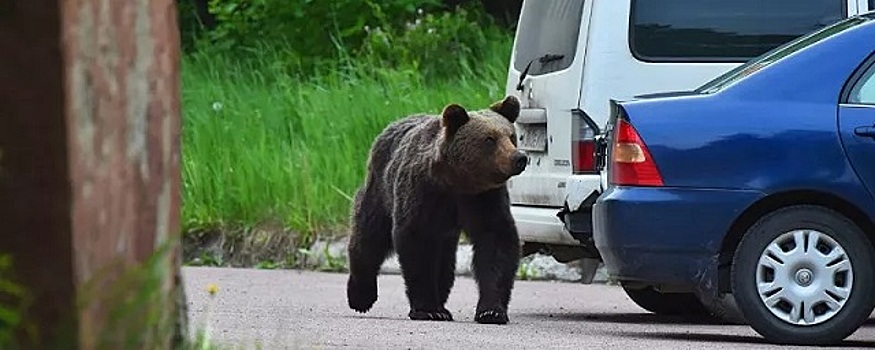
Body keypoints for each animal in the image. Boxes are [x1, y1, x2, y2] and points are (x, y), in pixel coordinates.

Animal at [348, 94, 528, 324]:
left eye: (512, 136)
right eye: (489, 139)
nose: (519, 158)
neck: (456, 181)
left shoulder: (484, 198)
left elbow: (496, 243)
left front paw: (491, 311)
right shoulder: (422, 193)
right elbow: (417, 245)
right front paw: (428, 309)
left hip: (444, 231)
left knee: (445, 263)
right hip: (381, 190)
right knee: (369, 237)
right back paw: (360, 297)